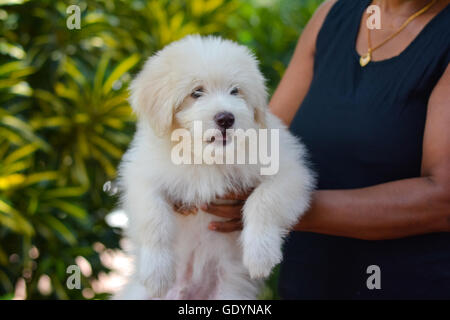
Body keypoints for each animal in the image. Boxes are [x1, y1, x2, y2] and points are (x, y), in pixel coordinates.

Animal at [114, 35, 314, 300]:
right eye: (196, 92)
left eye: (235, 91)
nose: (226, 118)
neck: (208, 157)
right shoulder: (141, 177)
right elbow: (153, 218)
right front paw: (156, 273)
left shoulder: (290, 172)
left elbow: (263, 201)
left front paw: (260, 255)